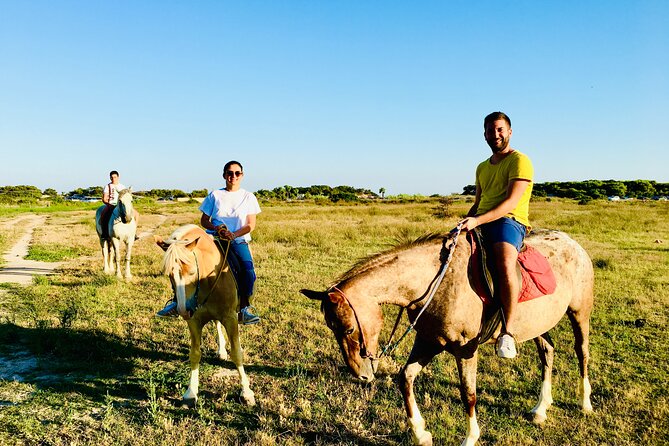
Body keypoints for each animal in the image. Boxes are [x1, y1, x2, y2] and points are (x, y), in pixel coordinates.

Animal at [155, 226, 254, 408]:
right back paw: (221, 351)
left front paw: (246, 393)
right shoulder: (194, 321)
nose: (183, 310)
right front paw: (191, 392)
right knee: (216, 323)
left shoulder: (230, 317)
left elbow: (237, 353)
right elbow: (195, 354)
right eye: (169, 275)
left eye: (192, 272)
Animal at [300, 230, 592, 446]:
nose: (361, 374)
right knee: (548, 351)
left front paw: (470, 438)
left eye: (348, 329)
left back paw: (585, 402)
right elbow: (405, 377)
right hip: (538, 324)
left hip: (580, 314)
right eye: (331, 328)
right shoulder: (428, 341)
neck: (435, 282)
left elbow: (468, 394)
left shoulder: (465, 349)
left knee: (582, 353)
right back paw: (541, 408)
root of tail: (572, 242)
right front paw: (421, 434)